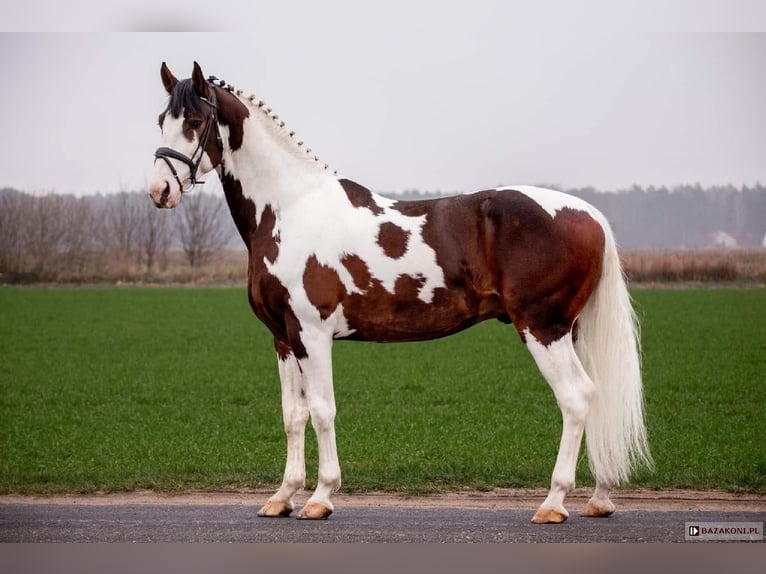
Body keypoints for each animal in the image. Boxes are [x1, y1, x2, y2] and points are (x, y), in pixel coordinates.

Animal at [148, 61, 652, 523]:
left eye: (196, 121)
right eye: (161, 120)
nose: (160, 190)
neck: (290, 208)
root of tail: (587, 212)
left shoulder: (312, 333)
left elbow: (322, 411)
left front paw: (320, 498)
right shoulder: (282, 337)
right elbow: (293, 415)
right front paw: (282, 497)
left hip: (542, 327)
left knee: (576, 398)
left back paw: (553, 503)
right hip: (571, 330)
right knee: (595, 397)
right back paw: (599, 498)